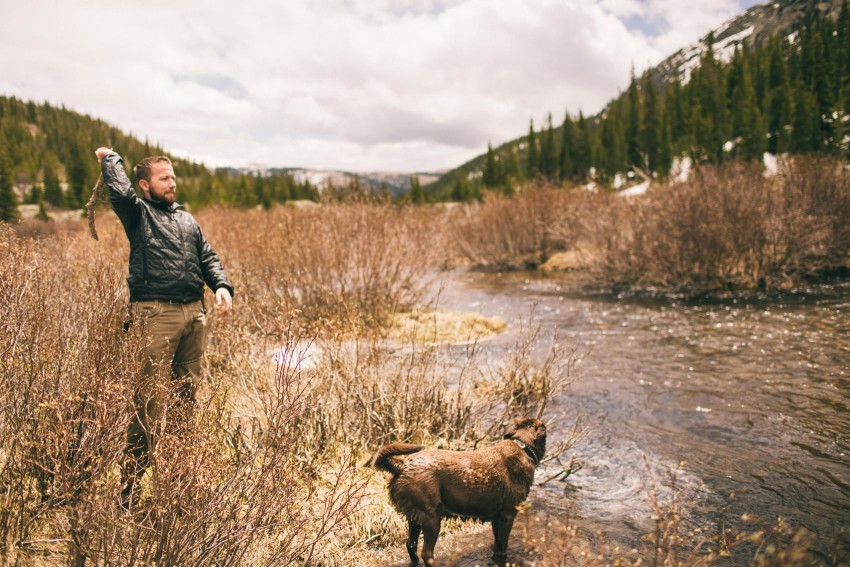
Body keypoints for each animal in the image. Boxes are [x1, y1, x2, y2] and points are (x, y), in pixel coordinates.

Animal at [370, 418, 544, 567]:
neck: (522, 446)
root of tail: (401, 465)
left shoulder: (497, 518)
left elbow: (496, 545)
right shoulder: (507, 516)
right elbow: (502, 548)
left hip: (415, 517)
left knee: (411, 545)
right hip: (431, 517)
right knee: (426, 553)